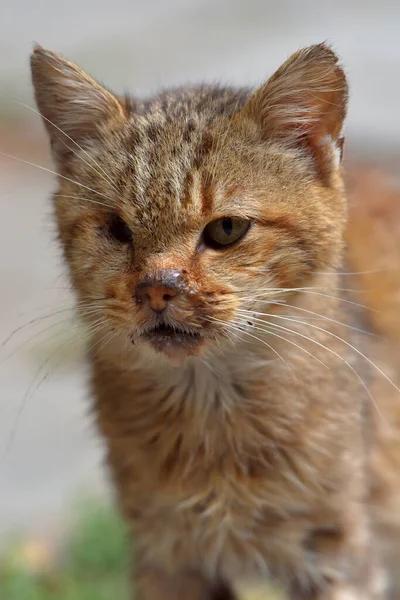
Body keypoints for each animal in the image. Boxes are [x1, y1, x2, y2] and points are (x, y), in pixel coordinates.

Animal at [28, 43, 400, 600]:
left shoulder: (343, 553)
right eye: (116, 229)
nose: (157, 287)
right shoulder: (166, 557)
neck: (213, 415)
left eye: (226, 229)